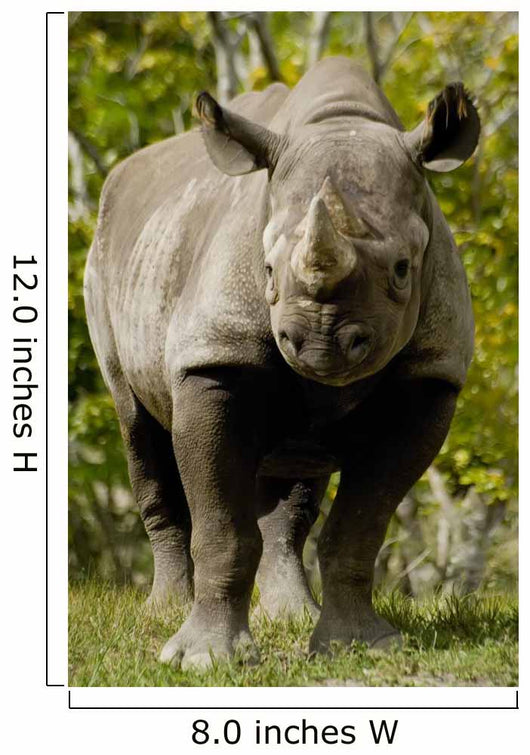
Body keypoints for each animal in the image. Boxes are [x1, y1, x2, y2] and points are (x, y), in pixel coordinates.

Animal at [84, 57, 479, 670]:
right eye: (267, 271)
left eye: (402, 270)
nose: (319, 342)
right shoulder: (215, 355)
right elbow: (223, 527)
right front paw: (204, 661)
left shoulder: (432, 375)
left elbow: (361, 526)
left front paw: (361, 647)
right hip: (107, 264)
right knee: (135, 423)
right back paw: (162, 615)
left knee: (295, 470)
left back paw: (291, 616)